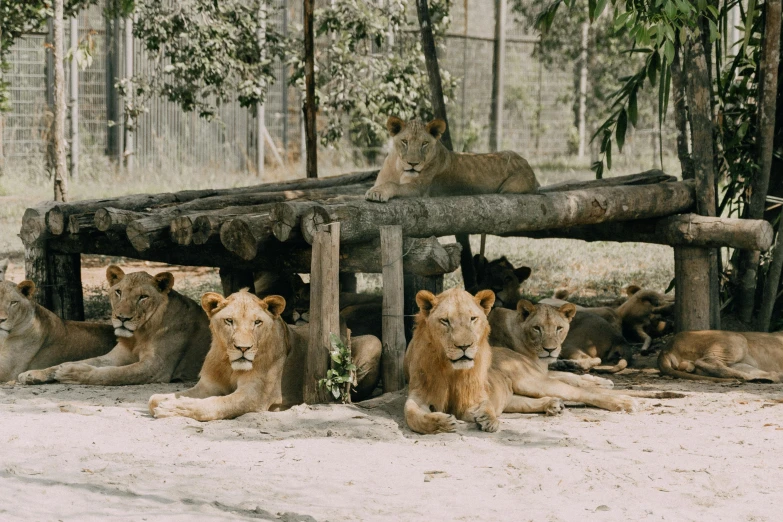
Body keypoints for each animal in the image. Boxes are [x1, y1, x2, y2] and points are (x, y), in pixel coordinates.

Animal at [17, 266, 211, 384]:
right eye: (118, 292)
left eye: (143, 297)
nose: (122, 318)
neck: (139, 335)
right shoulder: (116, 356)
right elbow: (79, 361)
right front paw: (34, 373)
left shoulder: (157, 367)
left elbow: (113, 374)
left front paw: (73, 373)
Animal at [149, 288, 382, 418]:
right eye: (229, 321)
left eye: (257, 322)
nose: (243, 348)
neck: (229, 364)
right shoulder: (208, 386)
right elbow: (154, 398)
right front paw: (165, 401)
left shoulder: (254, 396)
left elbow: (212, 405)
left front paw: (173, 408)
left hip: (373, 343)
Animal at [366, 117, 540, 202]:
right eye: (405, 141)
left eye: (424, 143)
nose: (413, 164)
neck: (398, 168)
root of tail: (527, 163)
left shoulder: (418, 190)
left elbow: (393, 185)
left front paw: (377, 193)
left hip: (510, 187)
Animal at [402, 286, 568, 432]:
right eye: (445, 321)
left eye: (472, 319)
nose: (464, 346)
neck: (451, 370)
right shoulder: (420, 393)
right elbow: (411, 414)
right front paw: (442, 422)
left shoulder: (473, 397)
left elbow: (487, 404)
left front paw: (488, 419)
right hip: (511, 399)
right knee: (526, 402)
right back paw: (553, 404)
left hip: (532, 382)